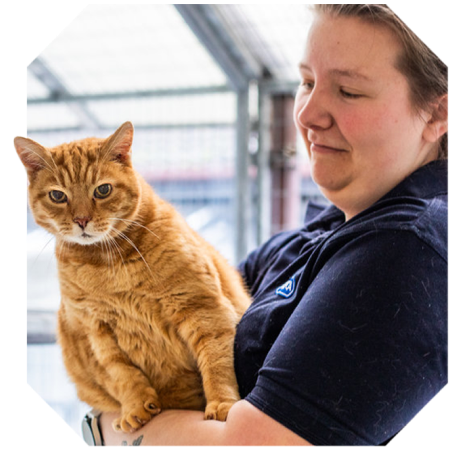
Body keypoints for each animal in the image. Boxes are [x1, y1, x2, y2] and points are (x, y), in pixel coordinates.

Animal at [16, 121, 251, 430]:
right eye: (58, 196)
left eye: (103, 190)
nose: (81, 220)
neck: (108, 265)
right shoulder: (98, 333)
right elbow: (123, 374)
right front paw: (136, 407)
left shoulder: (204, 309)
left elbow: (217, 364)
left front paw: (222, 405)